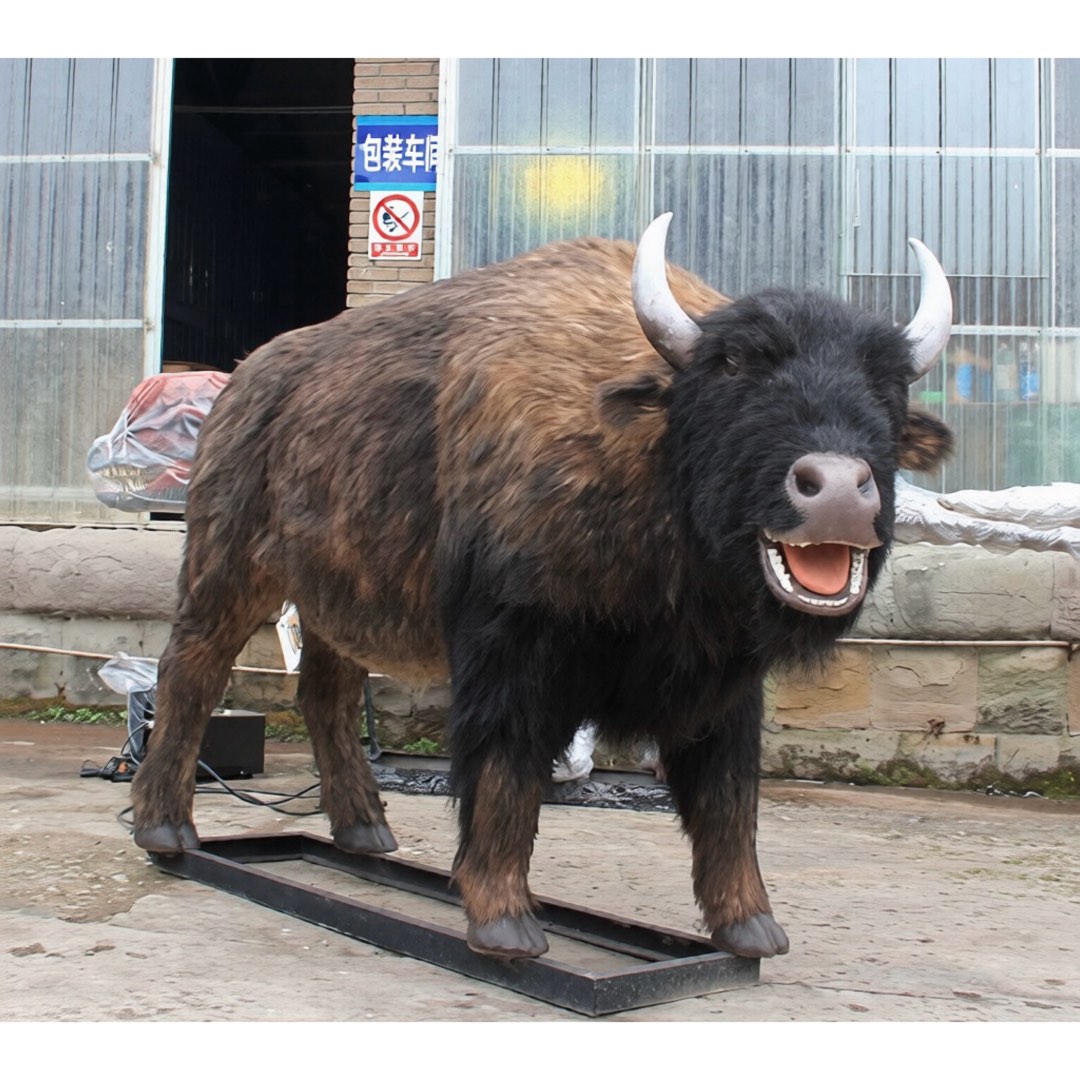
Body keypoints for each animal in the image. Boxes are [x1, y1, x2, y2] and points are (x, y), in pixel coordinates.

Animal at [130, 213, 954, 960]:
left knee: (323, 696)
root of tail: (243, 381)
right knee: (189, 672)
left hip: (336, 599)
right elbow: (505, 775)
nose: (838, 488)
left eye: (887, 385)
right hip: (229, 569)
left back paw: (366, 832)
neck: (643, 453)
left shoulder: (723, 682)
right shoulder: (511, 651)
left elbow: (727, 798)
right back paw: (166, 831)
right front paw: (505, 925)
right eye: (732, 369)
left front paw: (752, 931)